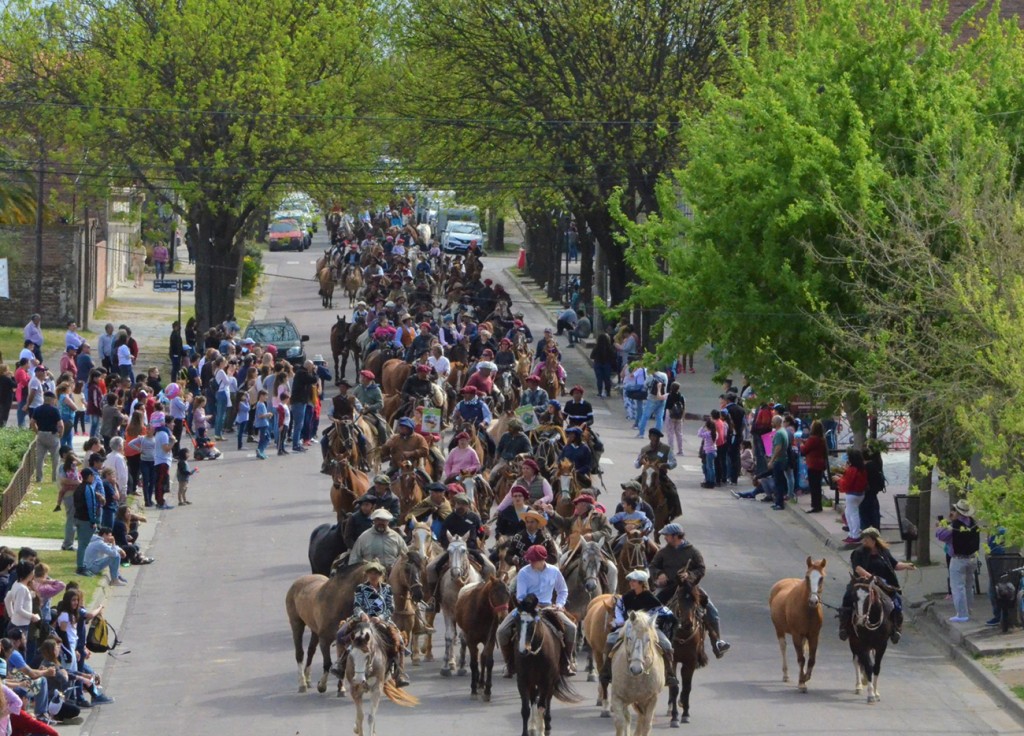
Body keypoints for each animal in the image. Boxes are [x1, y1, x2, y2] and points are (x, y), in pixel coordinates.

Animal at [284, 565, 372, 696]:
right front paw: (322, 685)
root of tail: (299, 581)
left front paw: (341, 688)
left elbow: (343, 661)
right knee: (299, 653)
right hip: (296, 623)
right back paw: (302, 684)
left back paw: (308, 679)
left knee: (311, 650)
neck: (336, 602)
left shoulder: (345, 639)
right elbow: (327, 663)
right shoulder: (324, 640)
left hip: (315, 630)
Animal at [440, 532, 483, 675]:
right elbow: (449, 636)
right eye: (449, 551)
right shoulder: (447, 610)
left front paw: (463, 666)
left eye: (464, 550)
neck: (459, 585)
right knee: (453, 635)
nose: (455, 573)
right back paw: (452, 662)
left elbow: (464, 637)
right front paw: (446, 666)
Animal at [516, 593, 581, 736]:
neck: (534, 654)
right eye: (517, 623)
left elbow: (542, 706)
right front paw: (527, 731)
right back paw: (533, 726)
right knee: (534, 698)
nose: (523, 651)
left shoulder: (546, 681)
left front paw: (542, 730)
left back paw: (548, 724)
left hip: (552, 679)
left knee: (548, 699)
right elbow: (525, 709)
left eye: (532, 624)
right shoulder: (523, 680)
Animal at [667, 573, 708, 720]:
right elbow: (674, 687)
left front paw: (685, 712)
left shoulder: (690, 661)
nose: (687, 624)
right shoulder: (672, 659)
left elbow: (687, 687)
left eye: (696, 598)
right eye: (679, 597)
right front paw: (675, 717)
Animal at [770, 556, 823, 696]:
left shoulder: (814, 635)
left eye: (821, 578)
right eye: (807, 577)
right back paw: (786, 675)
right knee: (783, 647)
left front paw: (805, 678)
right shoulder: (796, 634)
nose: (813, 601)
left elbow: (811, 659)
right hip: (779, 629)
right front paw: (802, 683)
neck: (807, 610)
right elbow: (801, 659)